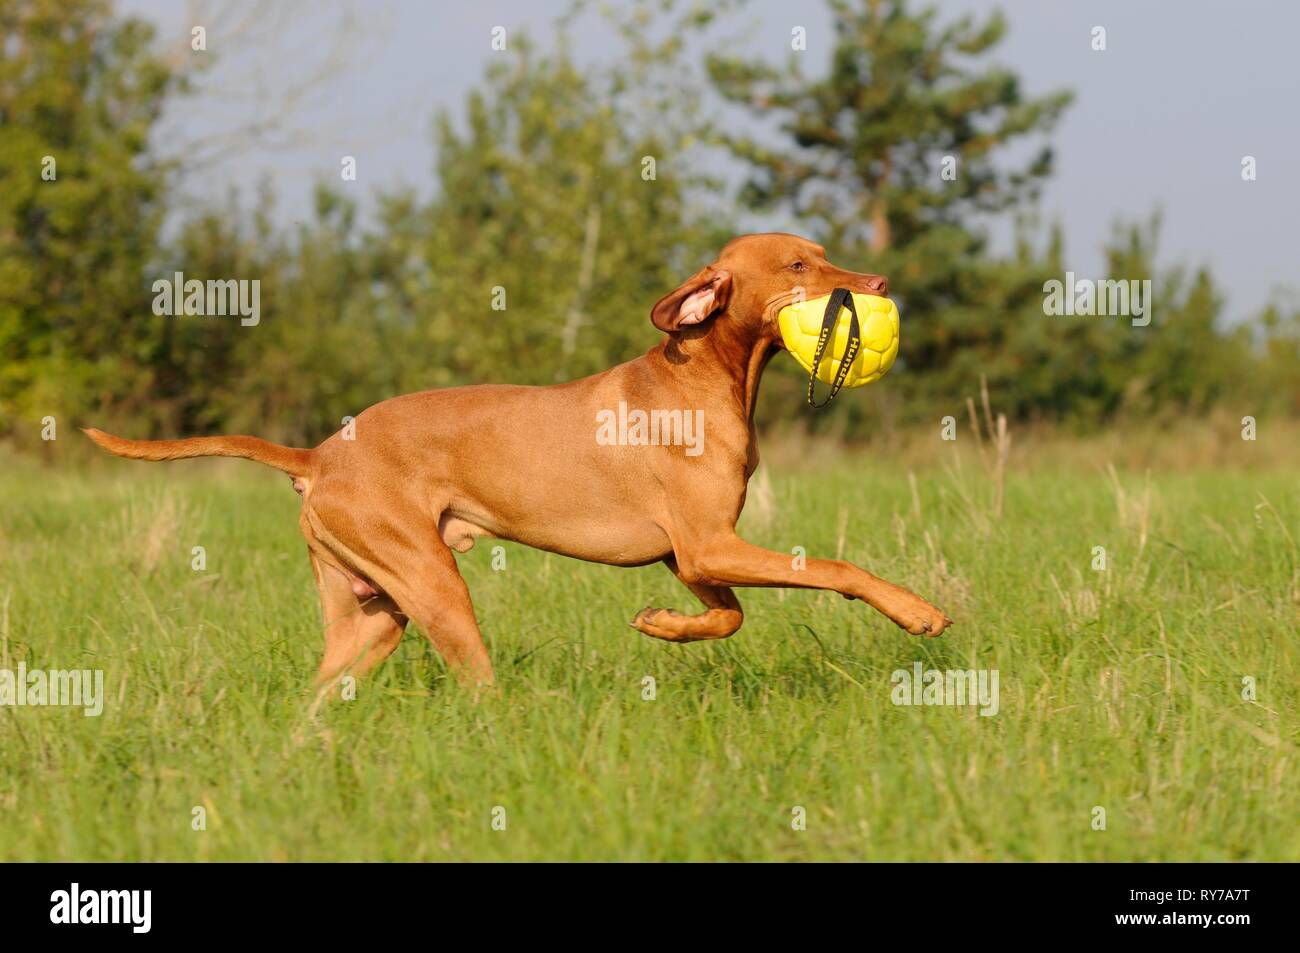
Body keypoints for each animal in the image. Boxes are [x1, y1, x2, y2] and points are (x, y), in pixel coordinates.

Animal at [86, 234, 951, 686]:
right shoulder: (711, 544)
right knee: (478, 688)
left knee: (318, 698)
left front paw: (664, 626)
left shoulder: (693, 554)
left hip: (370, 614)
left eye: (824, 252)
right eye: (800, 265)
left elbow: (728, 614)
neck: (704, 373)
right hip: (436, 587)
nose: (878, 279)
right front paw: (916, 610)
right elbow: (834, 568)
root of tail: (322, 452)